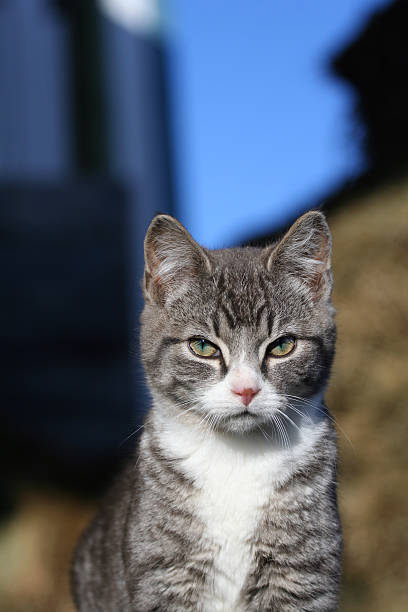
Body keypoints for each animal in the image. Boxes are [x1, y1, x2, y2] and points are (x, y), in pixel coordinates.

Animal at [72, 212, 342, 612]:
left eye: (282, 346)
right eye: (202, 346)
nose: (246, 389)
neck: (238, 457)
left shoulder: (303, 571)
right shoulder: (163, 573)